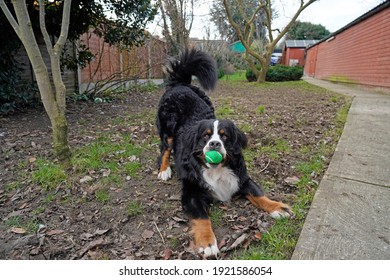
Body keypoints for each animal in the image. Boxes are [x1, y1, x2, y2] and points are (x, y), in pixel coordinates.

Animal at [155, 48, 290, 258]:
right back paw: (164, 170)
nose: (214, 144)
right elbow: (202, 217)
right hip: (167, 130)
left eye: (225, 136)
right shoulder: (192, 191)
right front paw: (207, 242)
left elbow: (259, 195)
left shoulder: (241, 178)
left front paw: (277, 207)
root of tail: (180, 84)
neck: (216, 169)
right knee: (165, 149)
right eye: (206, 136)